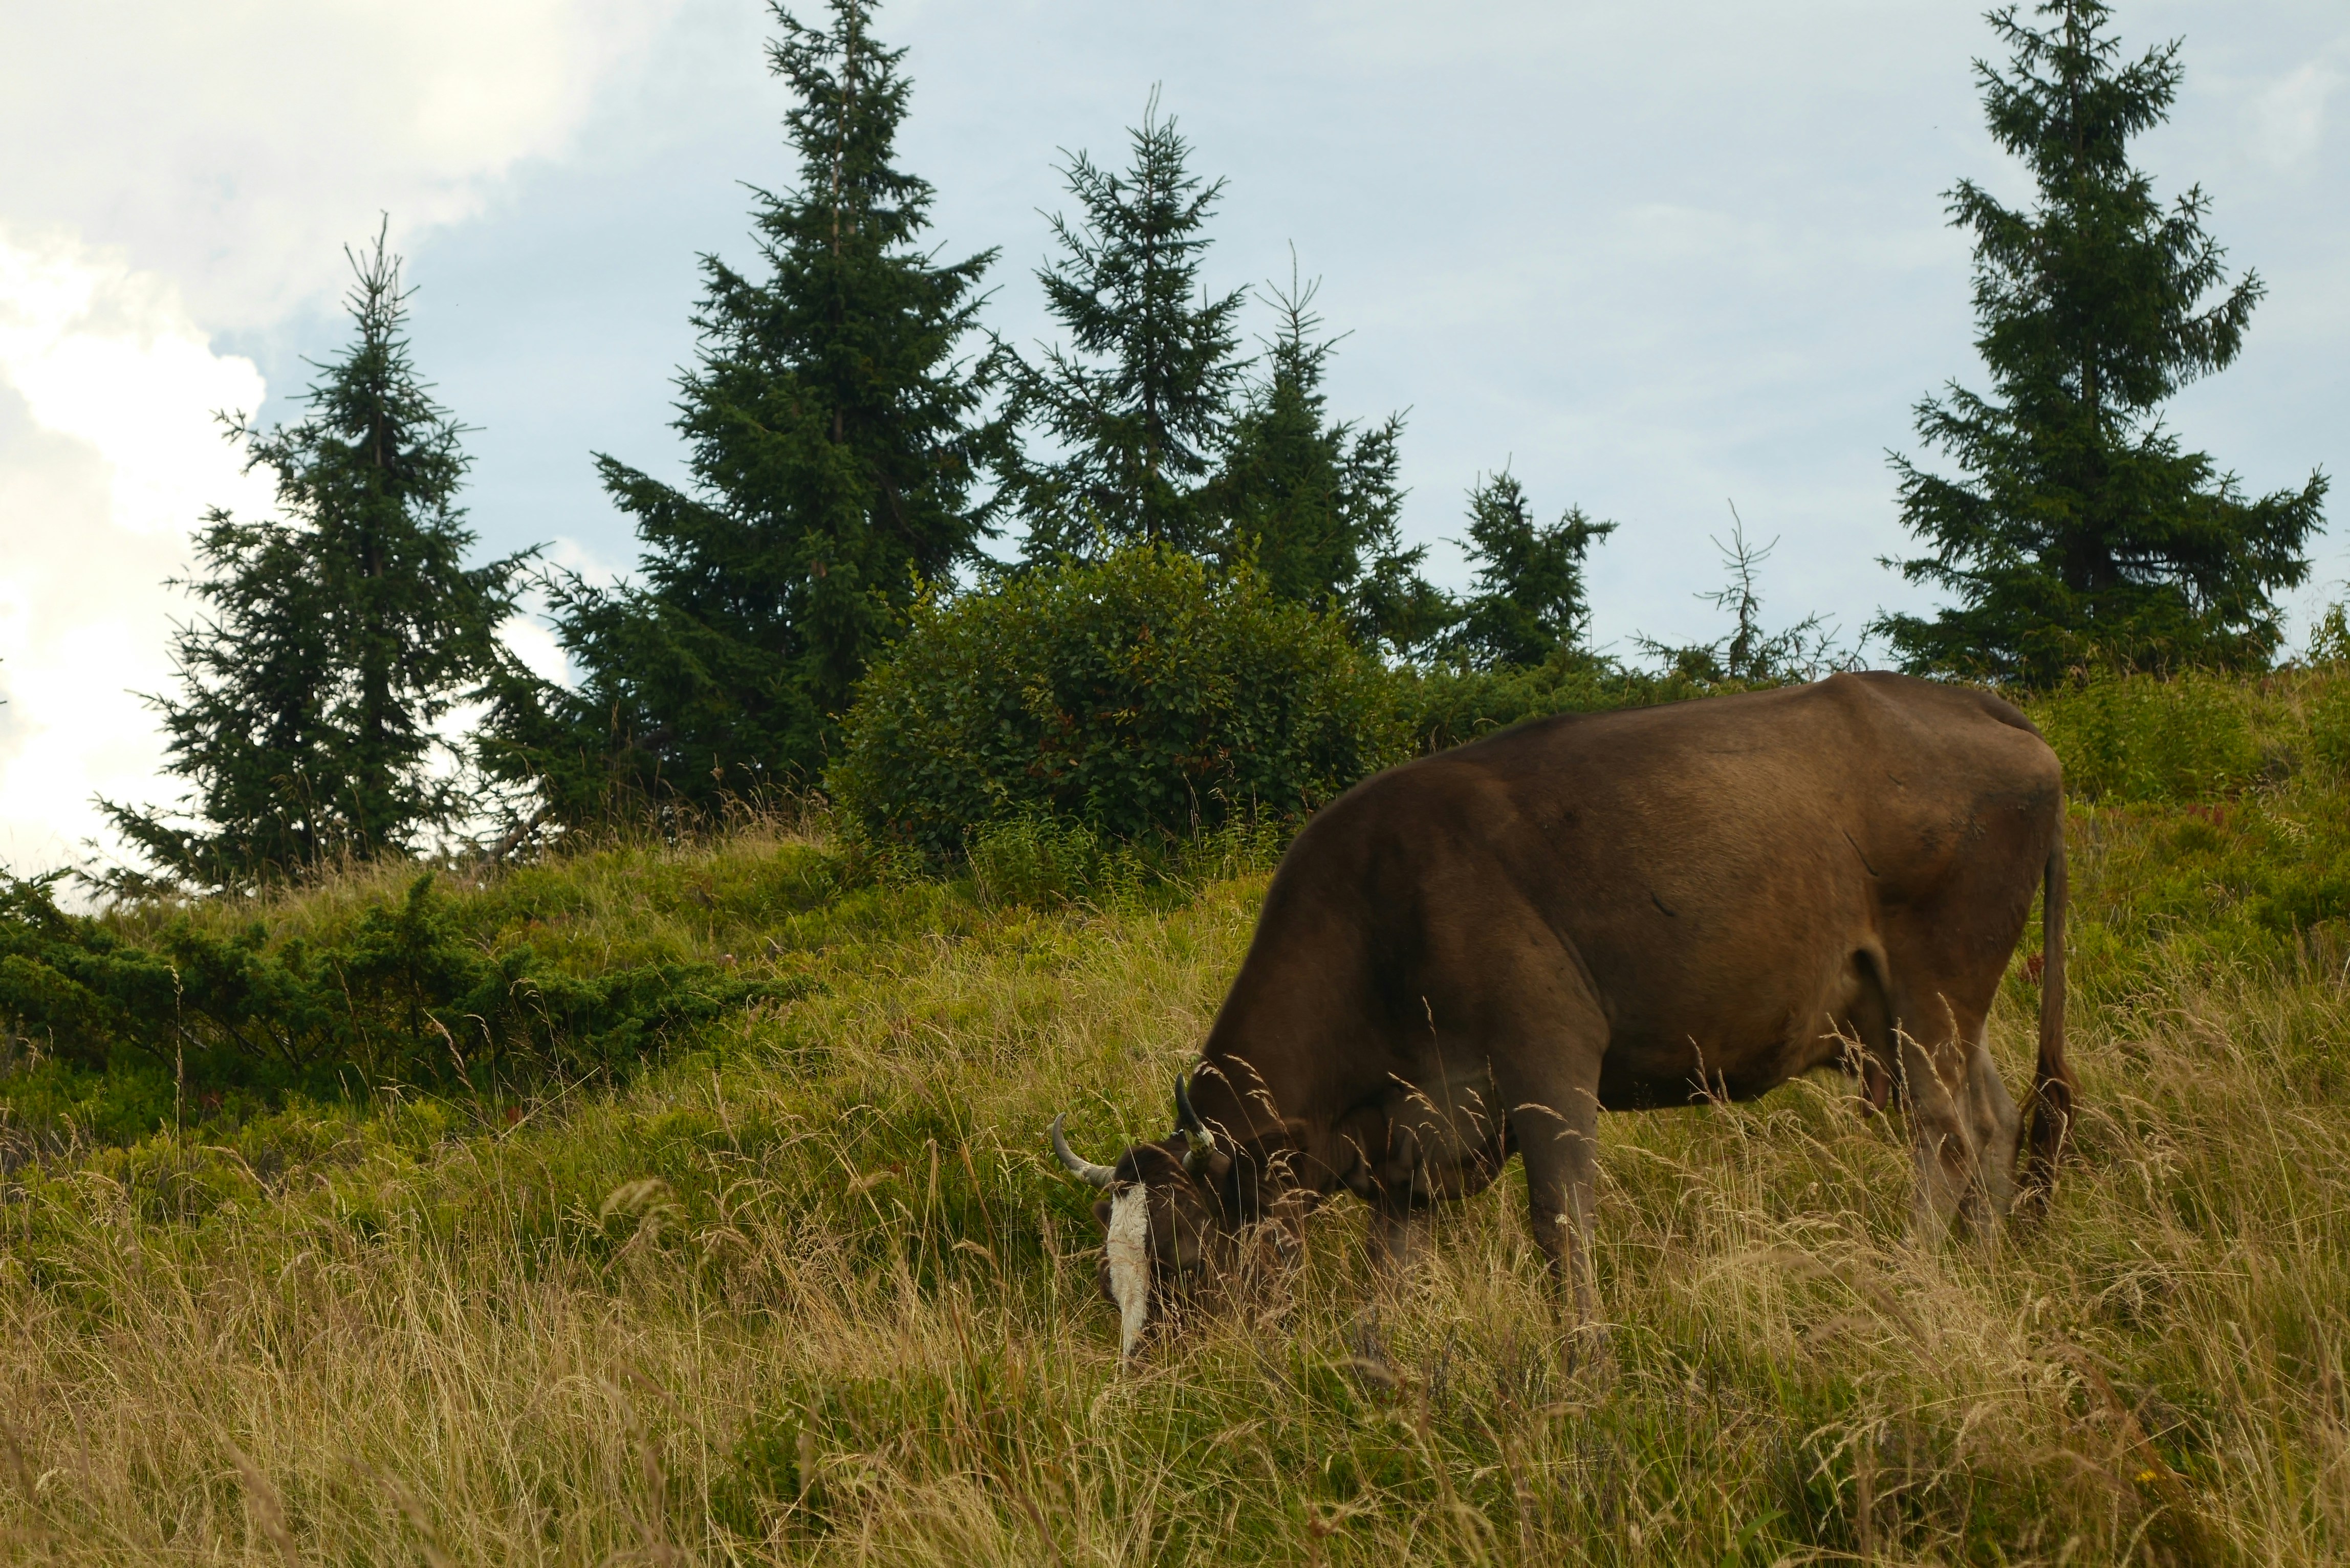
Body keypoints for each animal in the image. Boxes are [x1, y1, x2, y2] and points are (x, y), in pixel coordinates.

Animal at [1048, 672, 2073, 1359]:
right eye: (1108, 1276)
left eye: (1183, 1259)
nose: (1151, 1382)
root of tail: (1969, 700)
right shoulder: (1412, 1139)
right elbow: (1392, 1272)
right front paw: (1379, 1372)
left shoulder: (1549, 1056)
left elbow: (1559, 1222)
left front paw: (1585, 1361)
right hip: (1916, 1009)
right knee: (1992, 1116)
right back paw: (1985, 1273)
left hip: (1937, 976)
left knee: (1945, 1132)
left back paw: (1915, 1278)